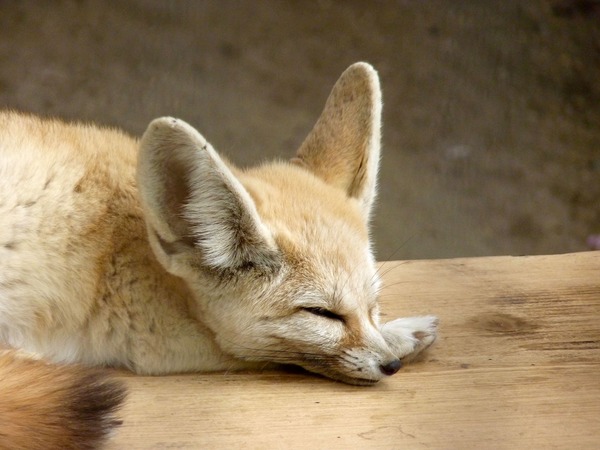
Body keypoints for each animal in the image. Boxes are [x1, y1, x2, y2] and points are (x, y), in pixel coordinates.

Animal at [1, 62, 436, 446]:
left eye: (372, 305)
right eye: (322, 313)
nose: (391, 366)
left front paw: (397, 333)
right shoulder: (149, 341)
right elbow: (270, 355)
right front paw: (402, 335)